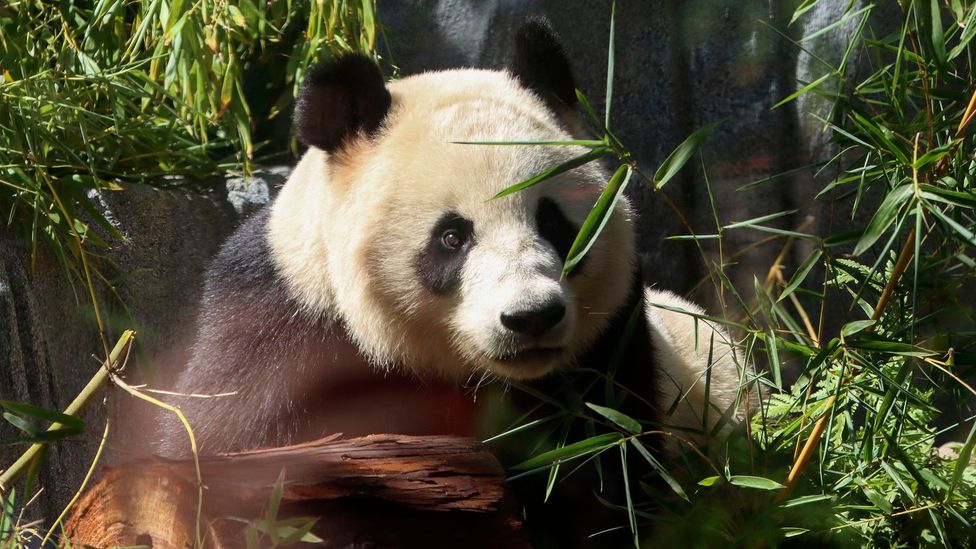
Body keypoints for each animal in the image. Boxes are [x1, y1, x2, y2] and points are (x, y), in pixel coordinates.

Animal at [155, 19, 750, 461]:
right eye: (451, 237)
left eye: (555, 223)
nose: (531, 317)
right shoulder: (281, 329)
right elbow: (219, 440)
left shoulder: (612, 345)